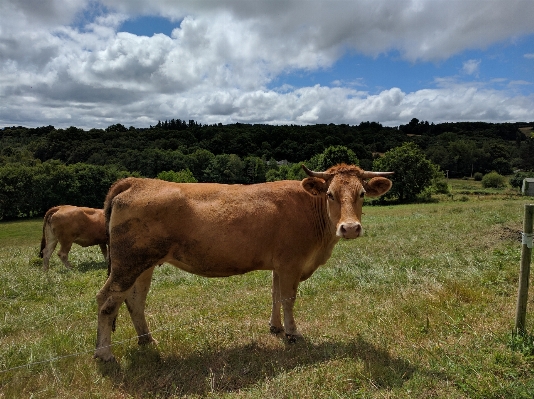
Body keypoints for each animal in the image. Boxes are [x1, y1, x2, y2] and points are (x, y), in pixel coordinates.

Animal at [94, 164, 394, 360]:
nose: (350, 228)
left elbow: (275, 295)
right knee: (107, 301)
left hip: (142, 265)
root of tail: (137, 181)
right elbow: (288, 298)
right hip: (127, 264)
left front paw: (275, 327)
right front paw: (292, 334)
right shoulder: (291, 263)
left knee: (135, 300)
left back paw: (147, 340)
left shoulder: (279, 265)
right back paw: (104, 354)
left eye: (362, 194)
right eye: (330, 194)